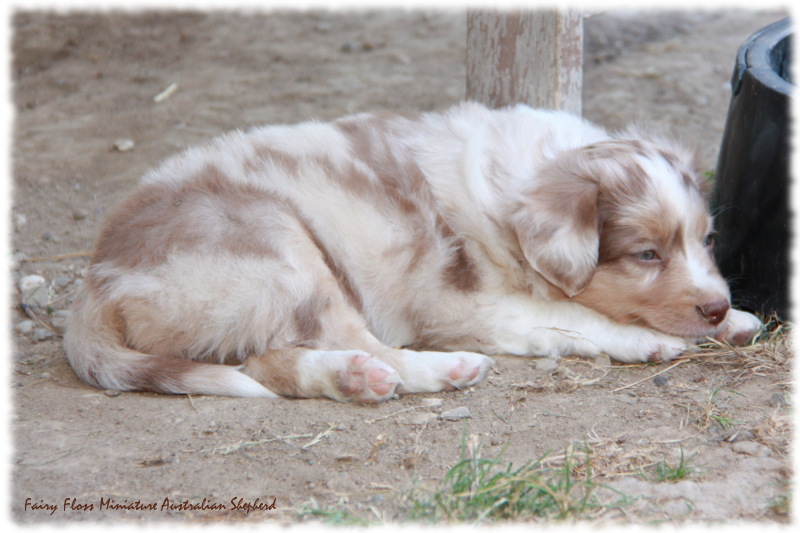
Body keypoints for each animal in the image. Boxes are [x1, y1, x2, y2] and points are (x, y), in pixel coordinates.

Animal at [64, 102, 764, 402]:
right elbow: (574, 318)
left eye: (706, 240)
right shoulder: (467, 303)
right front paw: (651, 340)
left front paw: (736, 320)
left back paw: (350, 379)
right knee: (368, 345)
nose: (713, 306)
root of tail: (95, 283)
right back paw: (438, 371)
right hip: (281, 247)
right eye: (646, 254)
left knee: (274, 364)